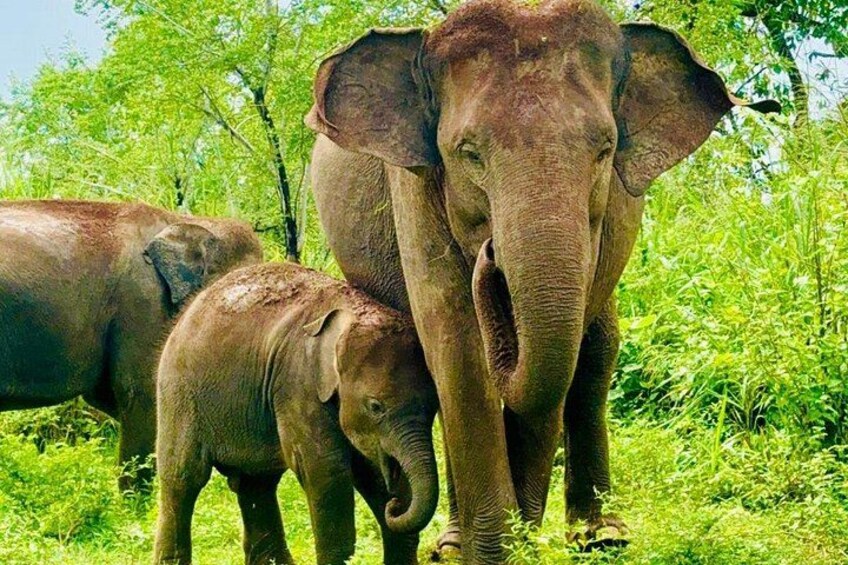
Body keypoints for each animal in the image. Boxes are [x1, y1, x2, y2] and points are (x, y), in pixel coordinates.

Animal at [153, 262, 439, 565]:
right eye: (375, 407)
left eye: (434, 406)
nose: (395, 505)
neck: (350, 313)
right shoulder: (298, 382)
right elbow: (325, 466)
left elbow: (367, 467)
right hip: (178, 394)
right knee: (183, 477)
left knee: (257, 482)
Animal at [305, 0, 779, 561]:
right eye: (467, 153)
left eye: (605, 149)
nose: (490, 254)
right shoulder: (414, 189)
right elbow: (457, 348)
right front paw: (494, 551)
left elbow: (555, 360)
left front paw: (521, 546)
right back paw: (453, 544)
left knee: (597, 353)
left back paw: (602, 538)